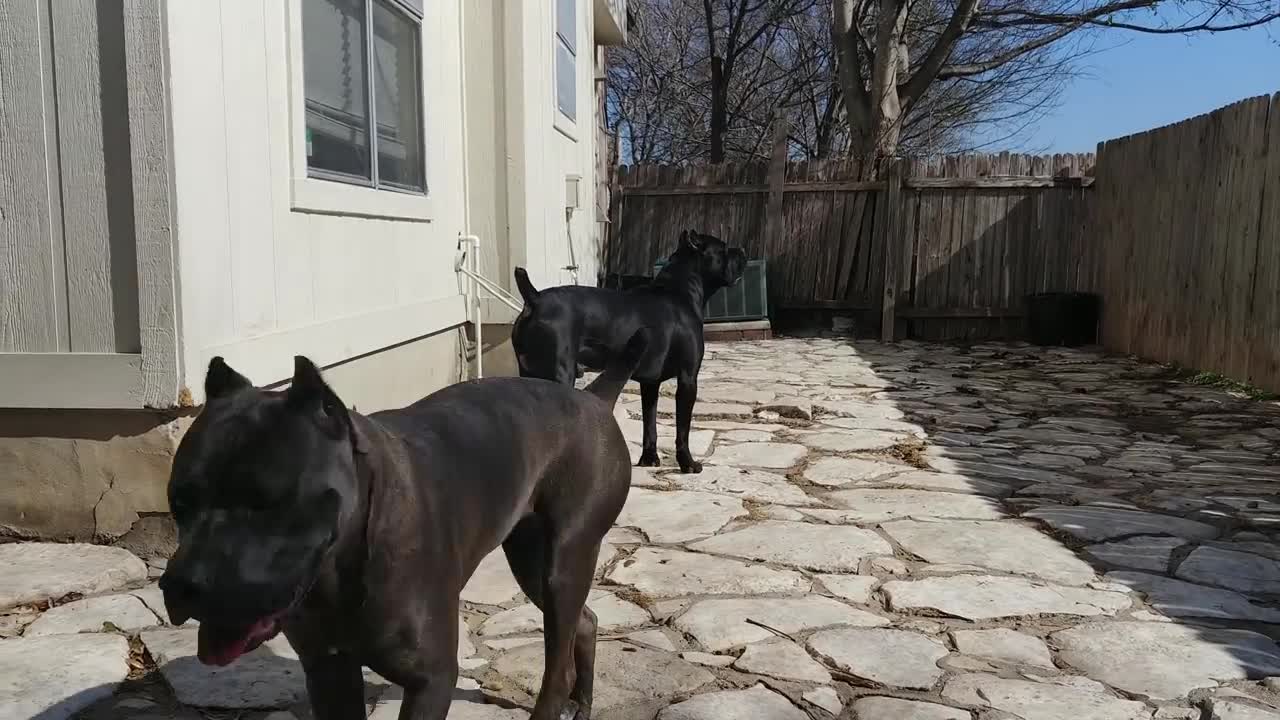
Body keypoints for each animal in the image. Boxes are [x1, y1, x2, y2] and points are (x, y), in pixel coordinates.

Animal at [157, 330, 650, 717]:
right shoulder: (328, 671)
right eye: (178, 502)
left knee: (558, 664)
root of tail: (593, 397)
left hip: (564, 561)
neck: (340, 567)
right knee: (584, 622)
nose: (181, 585)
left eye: (266, 503)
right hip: (531, 560)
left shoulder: (430, 679)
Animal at [512, 228, 747, 471]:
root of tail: (535, 299)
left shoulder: (650, 384)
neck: (680, 291)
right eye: (724, 248)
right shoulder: (688, 378)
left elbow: (650, 424)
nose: (742, 250)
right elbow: (682, 429)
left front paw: (649, 458)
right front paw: (688, 464)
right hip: (559, 374)